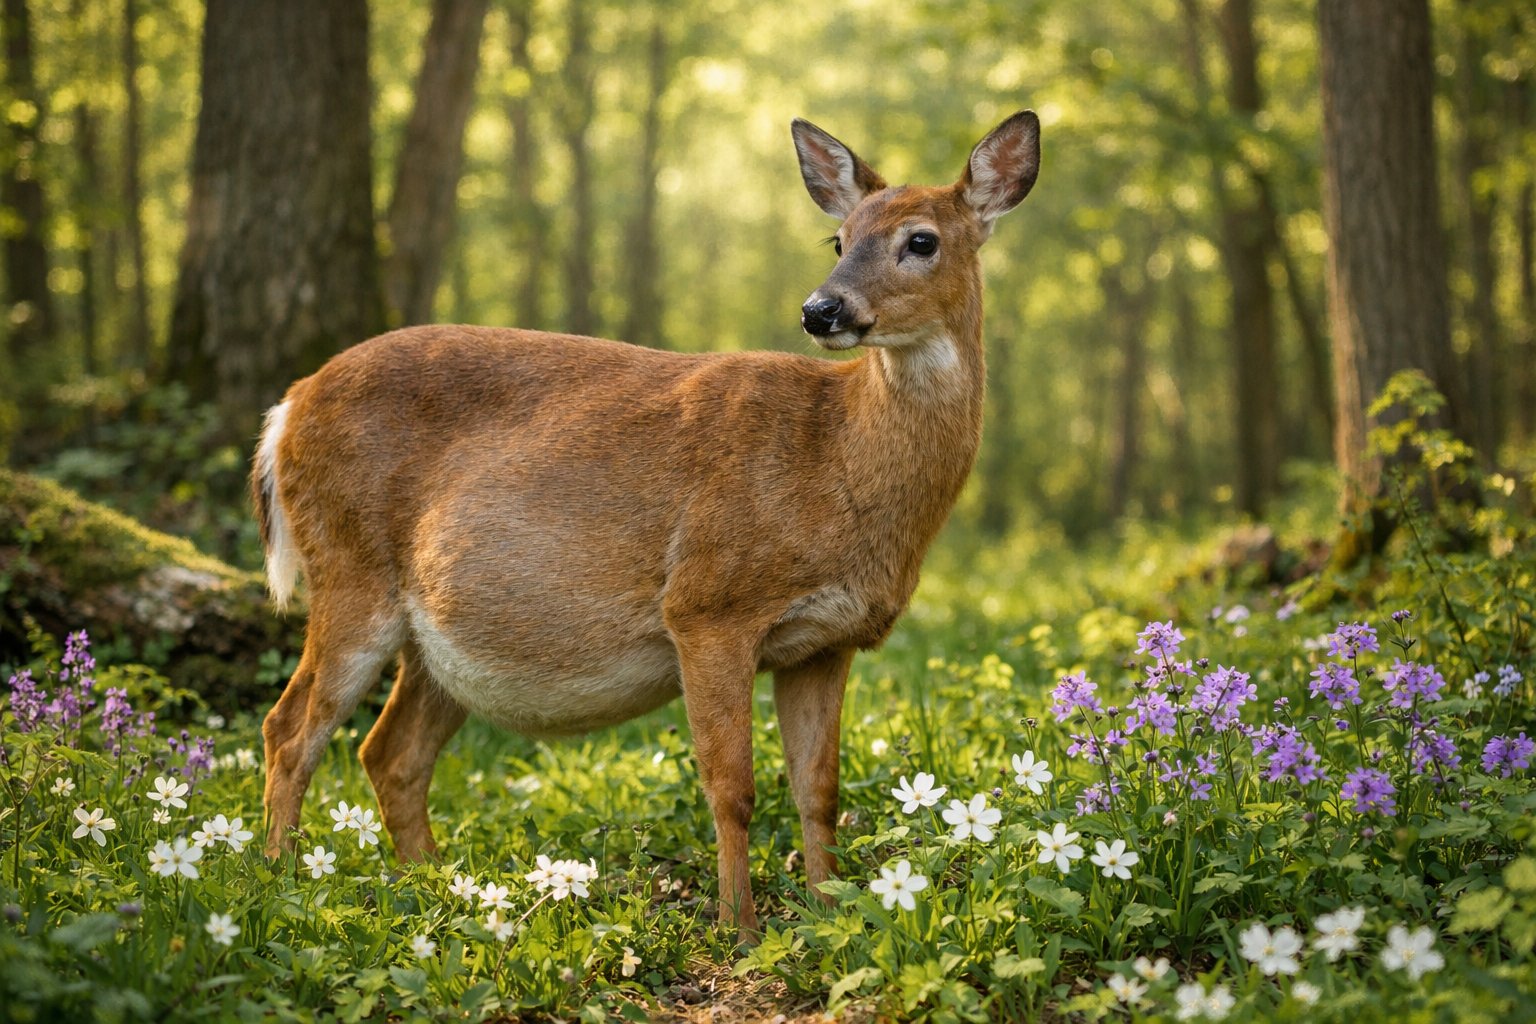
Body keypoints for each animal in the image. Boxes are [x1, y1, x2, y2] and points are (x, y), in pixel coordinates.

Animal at [252, 110, 1041, 939]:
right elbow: (733, 787)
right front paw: (739, 928)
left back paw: (442, 891)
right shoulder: (706, 603)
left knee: (389, 752)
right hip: (349, 566)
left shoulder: (825, 642)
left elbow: (819, 789)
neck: (835, 459)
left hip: (439, 635)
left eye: (921, 240)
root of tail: (286, 409)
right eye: (838, 238)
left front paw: (830, 915)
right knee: (291, 728)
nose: (820, 310)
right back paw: (282, 883)